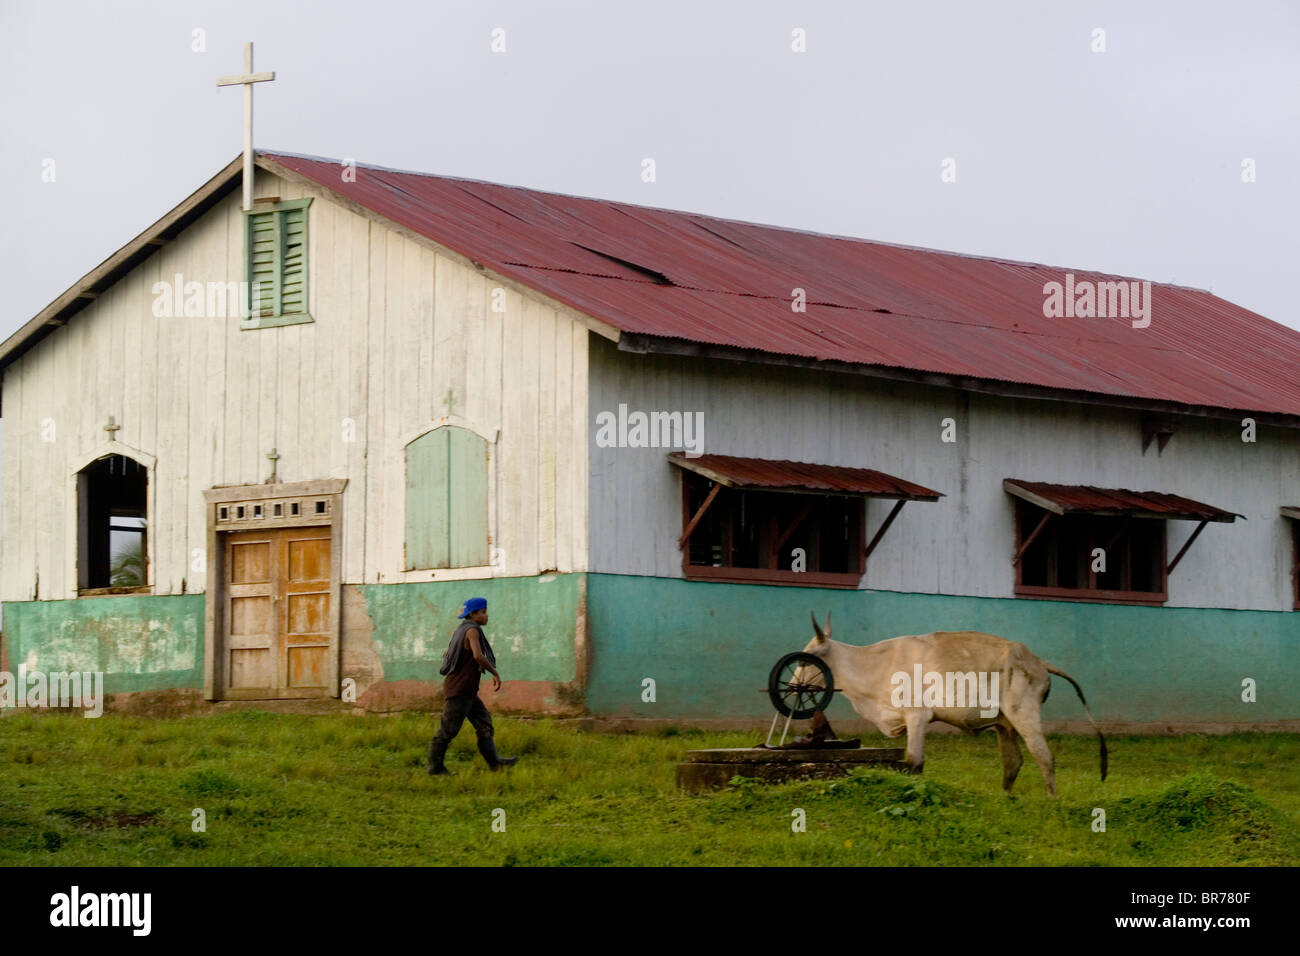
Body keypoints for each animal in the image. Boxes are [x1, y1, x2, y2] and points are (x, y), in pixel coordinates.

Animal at [795, 613, 1112, 801]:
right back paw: (1004, 800)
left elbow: (913, 762)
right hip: (1004, 723)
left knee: (1044, 756)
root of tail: (1036, 659)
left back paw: (1052, 802)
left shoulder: (917, 717)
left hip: (1024, 714)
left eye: (807, 658)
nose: (794, 683)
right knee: (1013, 762)